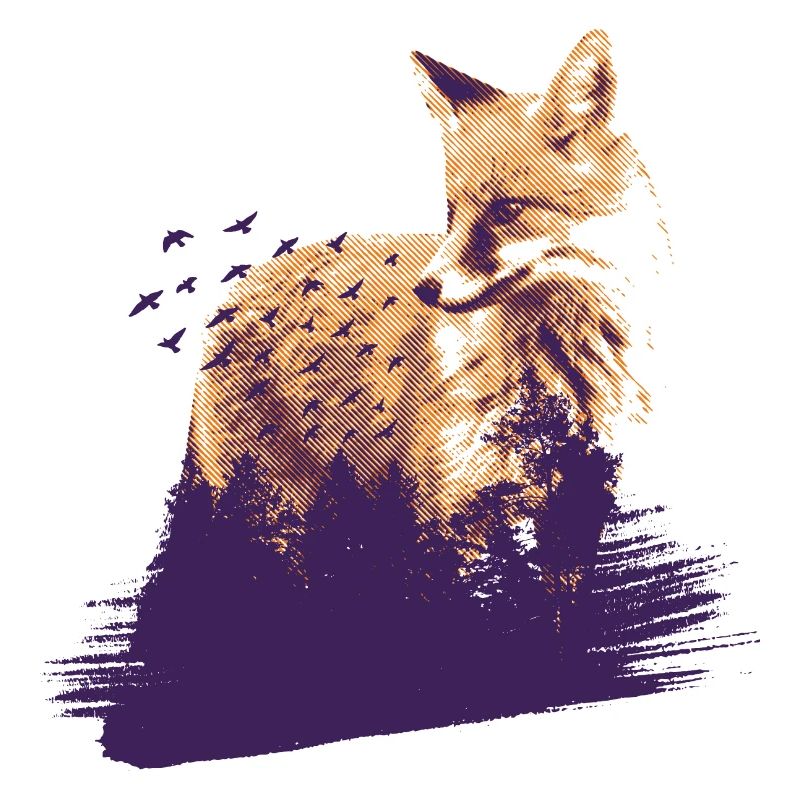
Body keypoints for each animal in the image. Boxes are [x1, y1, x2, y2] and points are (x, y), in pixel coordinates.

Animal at [187, 30, 670, 522]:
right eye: (452, 213)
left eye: (507, 210)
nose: (425, 288)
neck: (559, 374)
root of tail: (232, 292)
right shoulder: (453, 510)